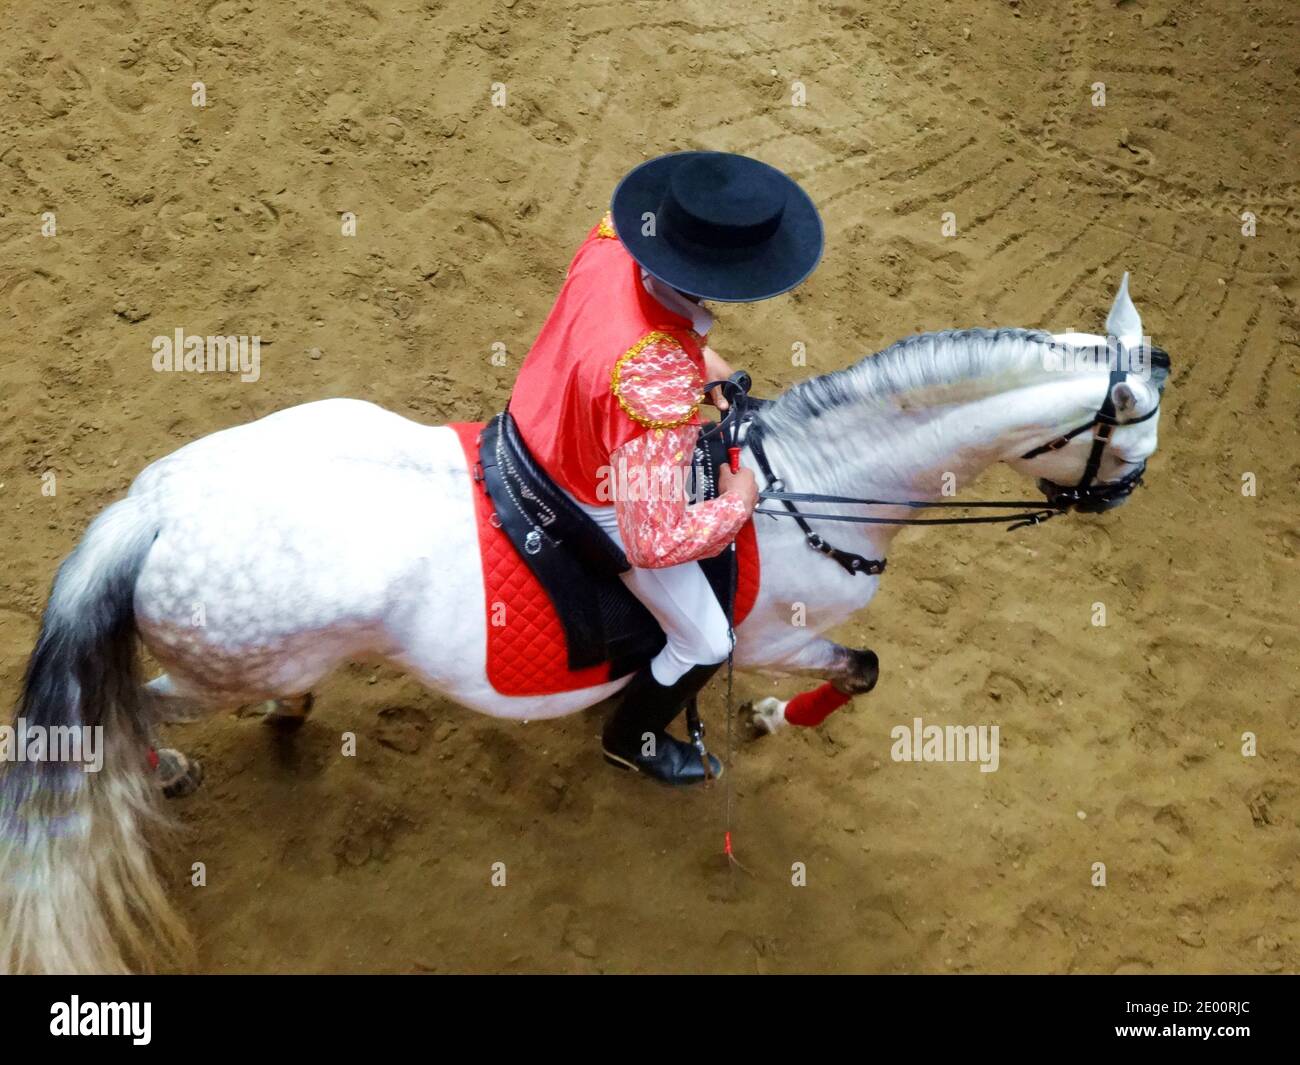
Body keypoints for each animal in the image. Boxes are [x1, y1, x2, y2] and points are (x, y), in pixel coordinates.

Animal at [0, 274, 1170, 972]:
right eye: (1128, 443)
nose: (1118, 501)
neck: (815, 483)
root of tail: (154, 509)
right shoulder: (769, 635)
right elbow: (853, 666)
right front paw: (749, 727)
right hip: (226, 659)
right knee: (139, 710)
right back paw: (171, 766)